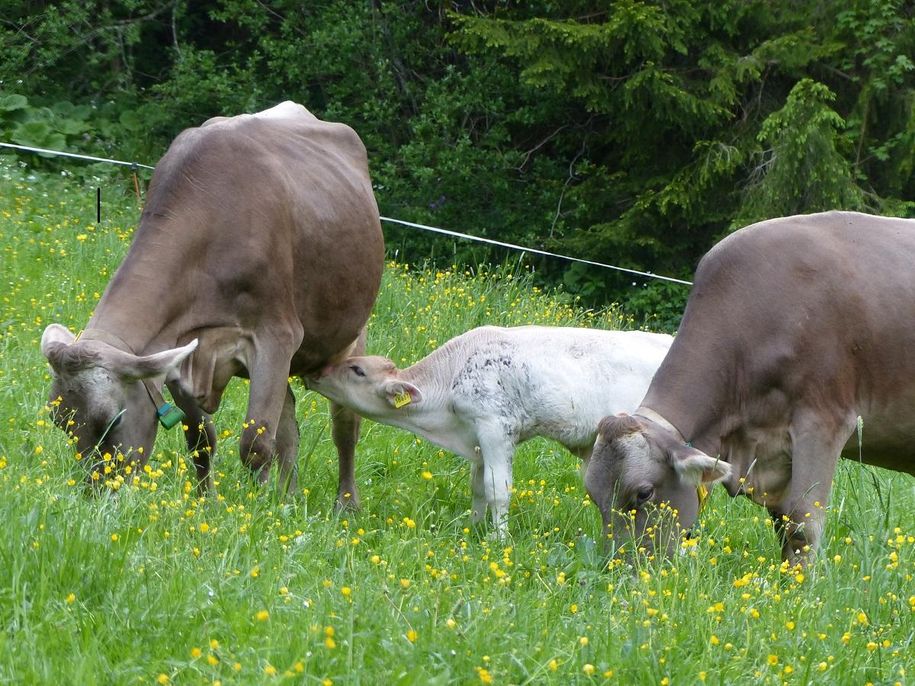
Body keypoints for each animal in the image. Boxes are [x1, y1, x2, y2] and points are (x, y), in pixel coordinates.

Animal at [38, 99, 382, 506]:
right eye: (59, 421)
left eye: (113, 420)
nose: (98, 495)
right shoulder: (180, 350)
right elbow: (201, 438)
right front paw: (208, 503)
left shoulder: (276, 336)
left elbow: (255, 443)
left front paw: (252, 510)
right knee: (289, 425)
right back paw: (287, 499)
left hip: (349, 335)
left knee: (344, 427)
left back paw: (345, 505)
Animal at [310, 326, 672, 536]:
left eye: (357, 369)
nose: (315, 373)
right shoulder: (477, 437)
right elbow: (478, 486)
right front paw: (473, 527)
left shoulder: (495, 428)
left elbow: (498, 489)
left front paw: (498, 540)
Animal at [588, 212, 915, 568]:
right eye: (592, 495)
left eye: (643, 493)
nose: (620, 569)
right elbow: (783, 525)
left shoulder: (824, 421)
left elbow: (803, 526)